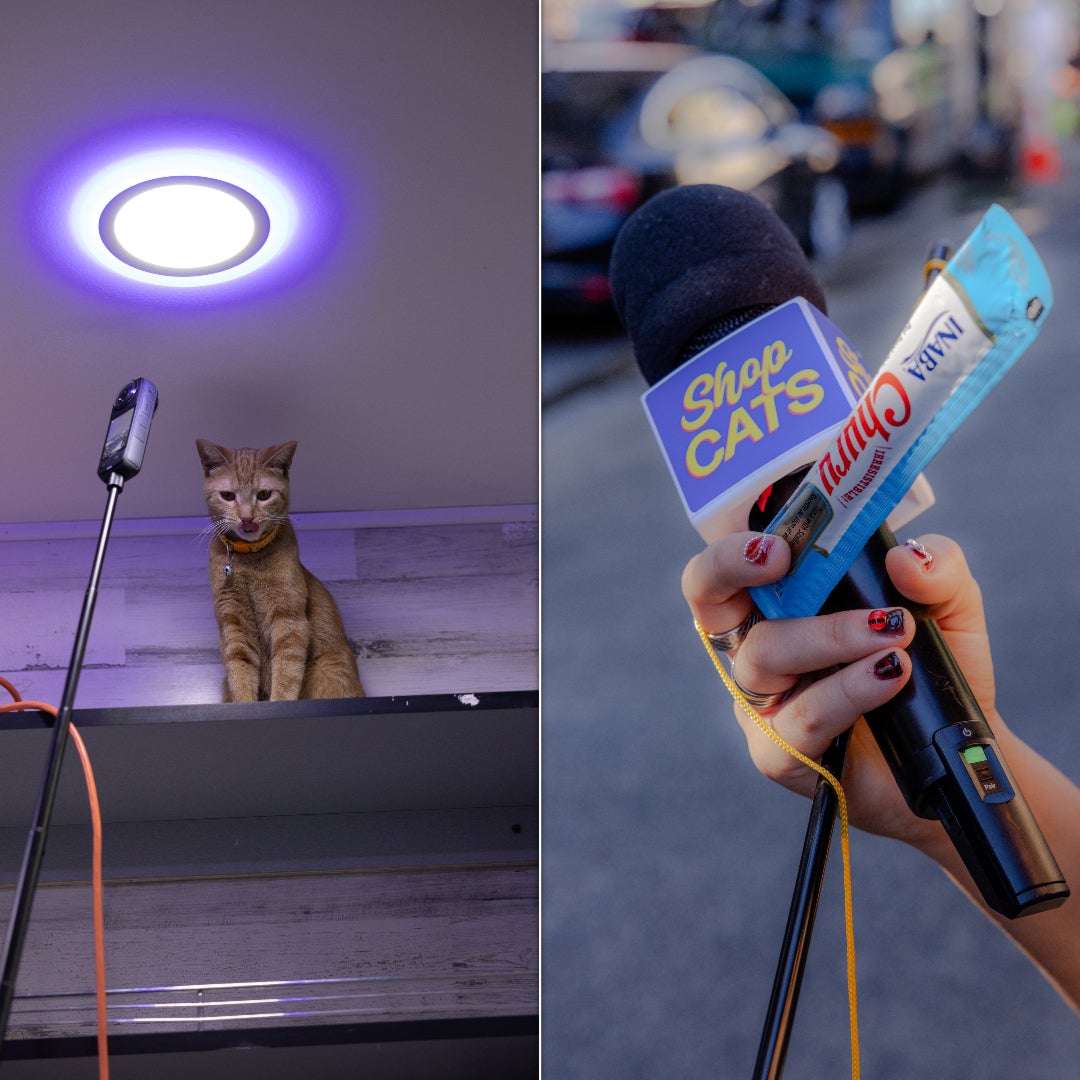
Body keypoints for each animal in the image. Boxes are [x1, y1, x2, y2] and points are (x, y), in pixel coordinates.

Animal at [194, 436, 362, 699]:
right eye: (228, 495)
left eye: (264, 494)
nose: (247, 518)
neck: (249, 561)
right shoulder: (234, 625)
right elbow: (240, 675)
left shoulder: (289, 621)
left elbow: (285, 674)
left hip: (327, 671)